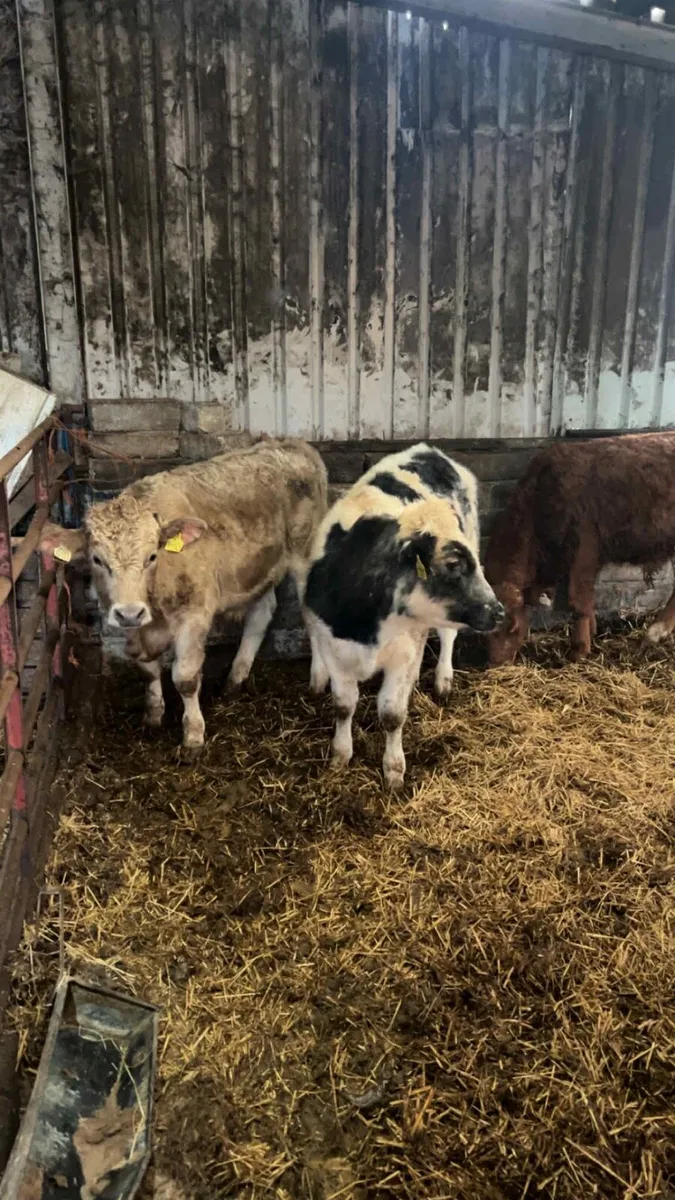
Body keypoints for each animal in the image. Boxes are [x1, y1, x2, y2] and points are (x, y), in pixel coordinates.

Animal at [40, 438, 328, 754]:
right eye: (97, 560)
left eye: (152, 556)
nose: (130, 612)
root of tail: (293, 444)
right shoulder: (133, 628)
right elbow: (148, 670)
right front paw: (153, 716)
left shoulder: (194, 615)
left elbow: (185, 678)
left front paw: (193, 735)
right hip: (258, 569)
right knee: (261, 615)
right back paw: (235, 679)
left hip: (305, 557)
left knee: (313, 616)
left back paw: (318, 681)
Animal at [301, 444, 504, 790]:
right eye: (452, 565)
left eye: (472, 564)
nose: (498, 611)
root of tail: (428, 449)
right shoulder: (335, 647)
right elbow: (344, 705)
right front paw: (341, 755)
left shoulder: (404, 651)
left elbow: (392, 713)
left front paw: (394, 769)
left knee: (447, 636)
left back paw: (443, 679)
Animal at [485, 432, 675, 665]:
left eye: (510, 628)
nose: (495, 664)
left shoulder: (584, 551)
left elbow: (578, 602)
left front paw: (579, 651)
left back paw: (654, 632)